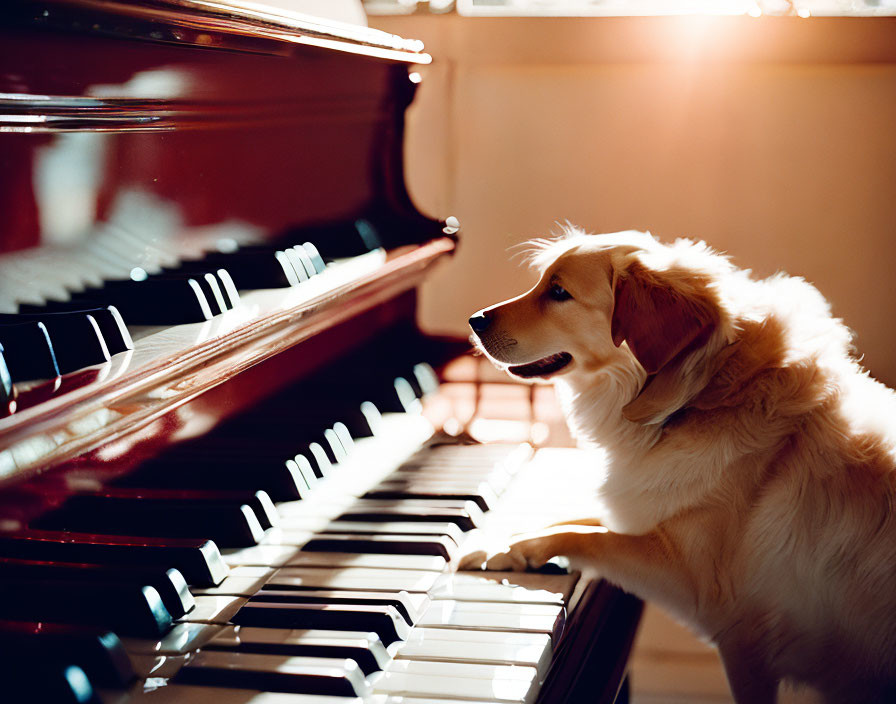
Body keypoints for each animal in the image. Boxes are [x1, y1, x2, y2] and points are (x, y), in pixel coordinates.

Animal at [462, 230, 896, 704]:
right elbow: (575, 518)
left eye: (558, 292)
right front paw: (497, 541)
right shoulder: (647, 511)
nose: (473, 320)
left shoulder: (711, 603)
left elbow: (588, 535)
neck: (699, 395)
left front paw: (510, 548)